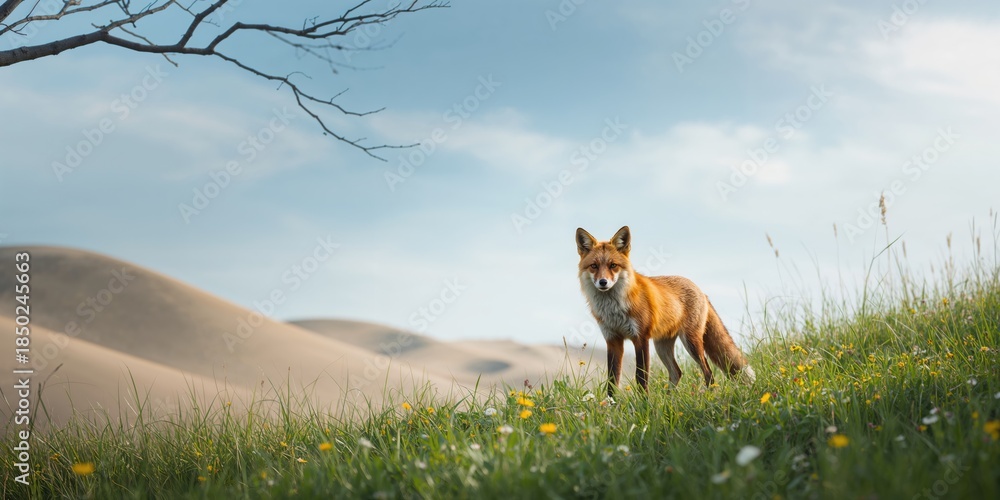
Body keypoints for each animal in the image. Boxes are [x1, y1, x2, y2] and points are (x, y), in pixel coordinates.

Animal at [576, 226, 755, 397]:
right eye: (594, 266)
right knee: (677, 372)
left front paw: (644, 403)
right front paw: (611, 404)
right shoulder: (613, 340)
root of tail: (700, 290)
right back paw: (669, 400)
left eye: (613, 265)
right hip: (662, 346)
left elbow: (641, 378)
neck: (614, 309)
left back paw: (709, 397)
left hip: (691, 342)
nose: (603, 282)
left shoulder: (641, 338)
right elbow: (612, 382)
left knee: (708, 373)